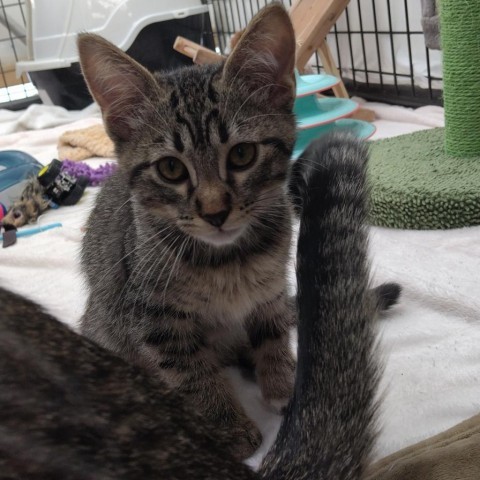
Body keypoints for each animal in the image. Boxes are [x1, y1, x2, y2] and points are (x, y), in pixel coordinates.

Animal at [0, 132, 378, 480]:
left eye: (242, 156)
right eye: (173, 170)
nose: (216, 210)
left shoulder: (270, 293)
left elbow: (274, 336)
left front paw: (282, 383)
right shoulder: (153, 316)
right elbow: (192, 373)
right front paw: (229, 425)